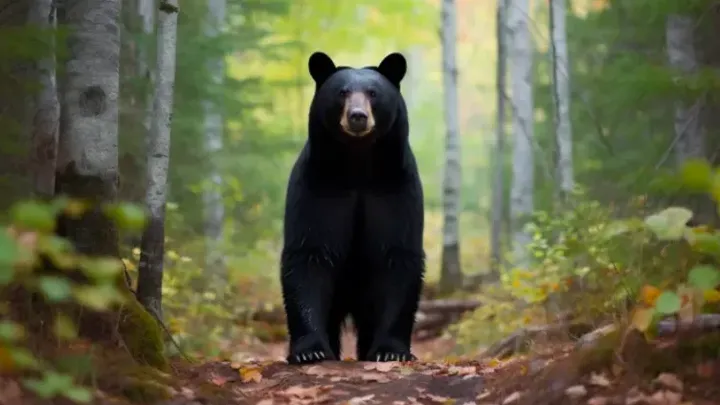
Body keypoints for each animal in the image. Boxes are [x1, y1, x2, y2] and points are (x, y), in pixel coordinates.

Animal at [280, 51, 425, 365]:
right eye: (342, 92)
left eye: (373, 92)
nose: (357, 116)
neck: (357, 166)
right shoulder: (319, 188)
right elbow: (309, 254)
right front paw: (310, 350)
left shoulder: (394, 190)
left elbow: (397, 257)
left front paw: (390, 350)